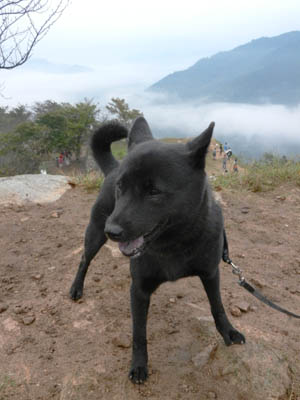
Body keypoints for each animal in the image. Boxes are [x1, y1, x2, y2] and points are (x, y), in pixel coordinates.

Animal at [69, 118, 244, 384]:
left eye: (154, 191)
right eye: (121, 187)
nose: (113, 231)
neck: (175, 242)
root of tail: (114, 167)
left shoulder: (211, 273)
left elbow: (218, 306)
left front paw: (228, 331)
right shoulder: (139, 289)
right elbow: (139, 333)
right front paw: (139, 365)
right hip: (94, 234)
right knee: (83, 260)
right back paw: (76, 287)